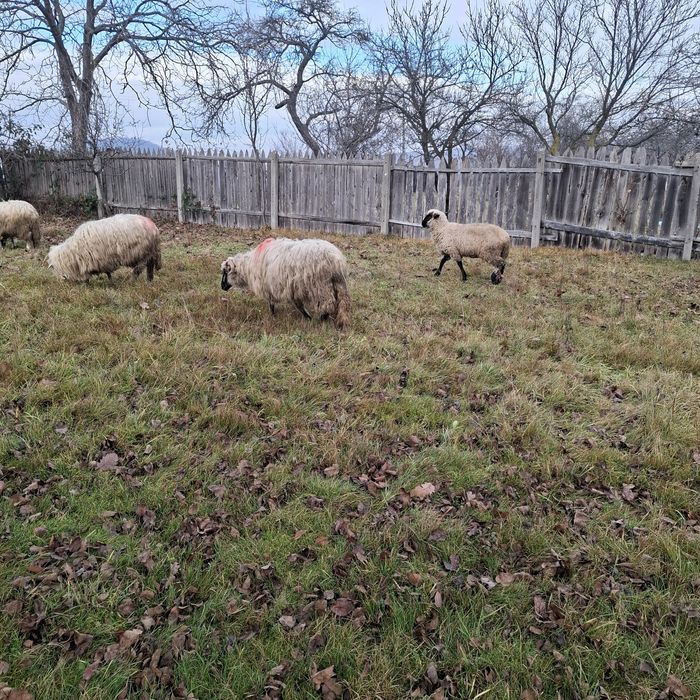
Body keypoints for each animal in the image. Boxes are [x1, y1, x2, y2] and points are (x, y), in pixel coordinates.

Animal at [220, 237, 351, 330]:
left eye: (225, 272)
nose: (222, 287)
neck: (248, 267)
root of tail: (335, 259)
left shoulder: (270, 286)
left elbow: (273, 303)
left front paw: (273, 316)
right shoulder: (293, 288)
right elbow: (298, 304)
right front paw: (307, 317)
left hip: (320, 285)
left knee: (329, 302)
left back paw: (322, 318)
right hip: (339, 282)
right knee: (344, 302)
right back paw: (341, 321)